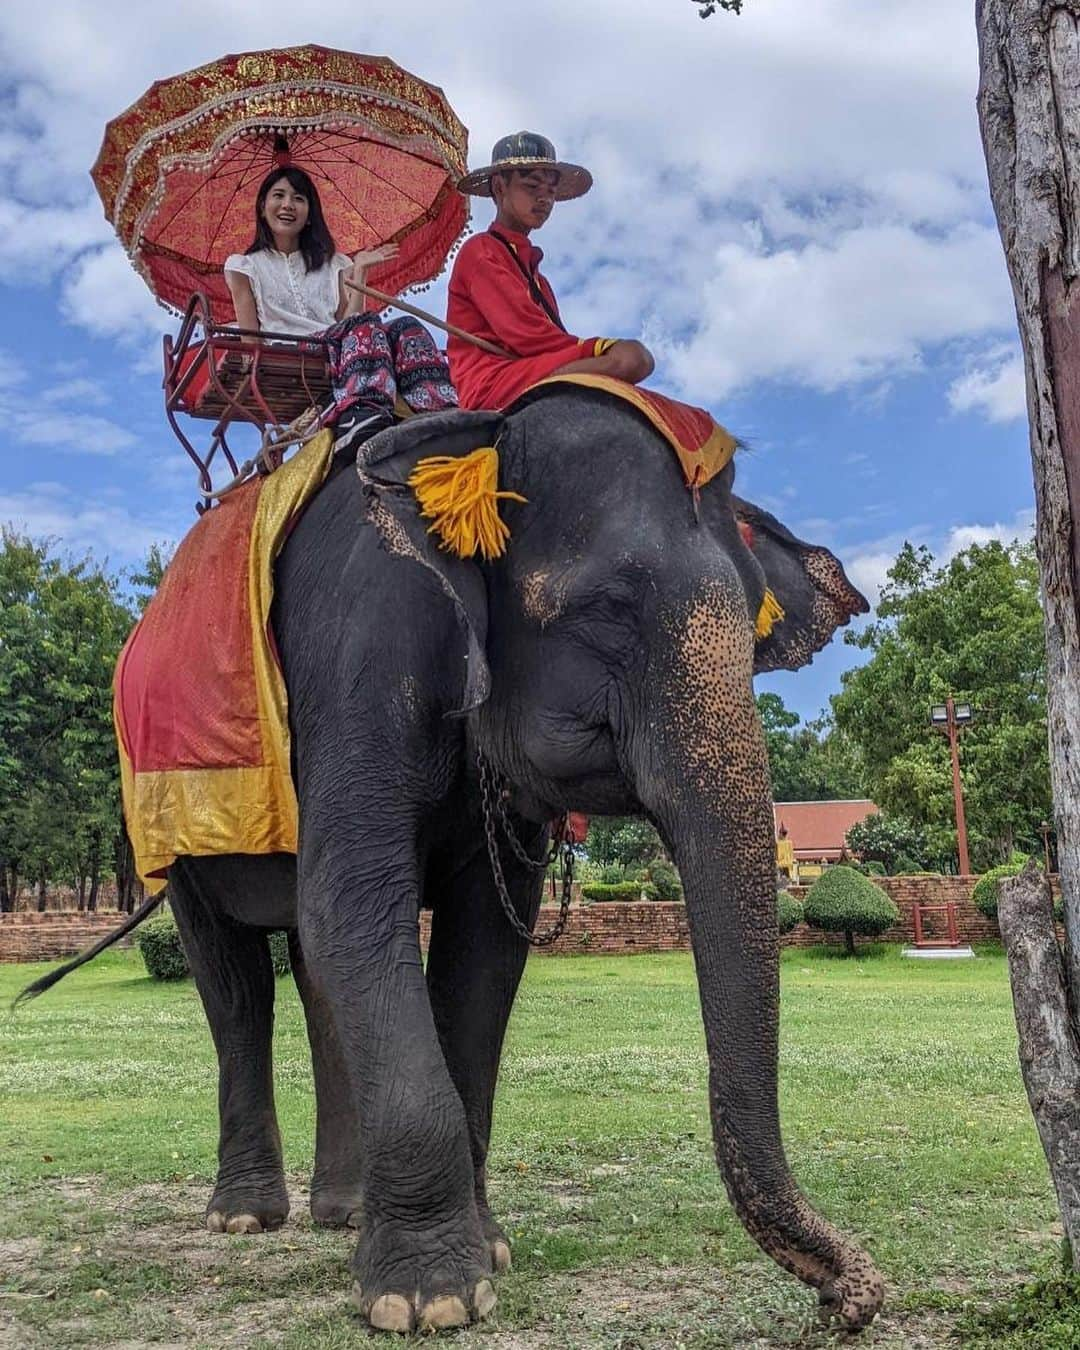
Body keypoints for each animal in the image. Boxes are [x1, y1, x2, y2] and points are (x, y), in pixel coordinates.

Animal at [122, 386, 880, 1333]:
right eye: (606, 608)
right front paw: (429, 1301)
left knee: (312, 968)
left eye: (753, 623)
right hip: (169, 818)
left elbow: (480, 946)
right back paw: (243, 1218)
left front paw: (486, 1252)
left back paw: (343, 1211)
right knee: (233, 980)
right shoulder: (363, 646)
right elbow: (356, 902)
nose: (848, 1300)